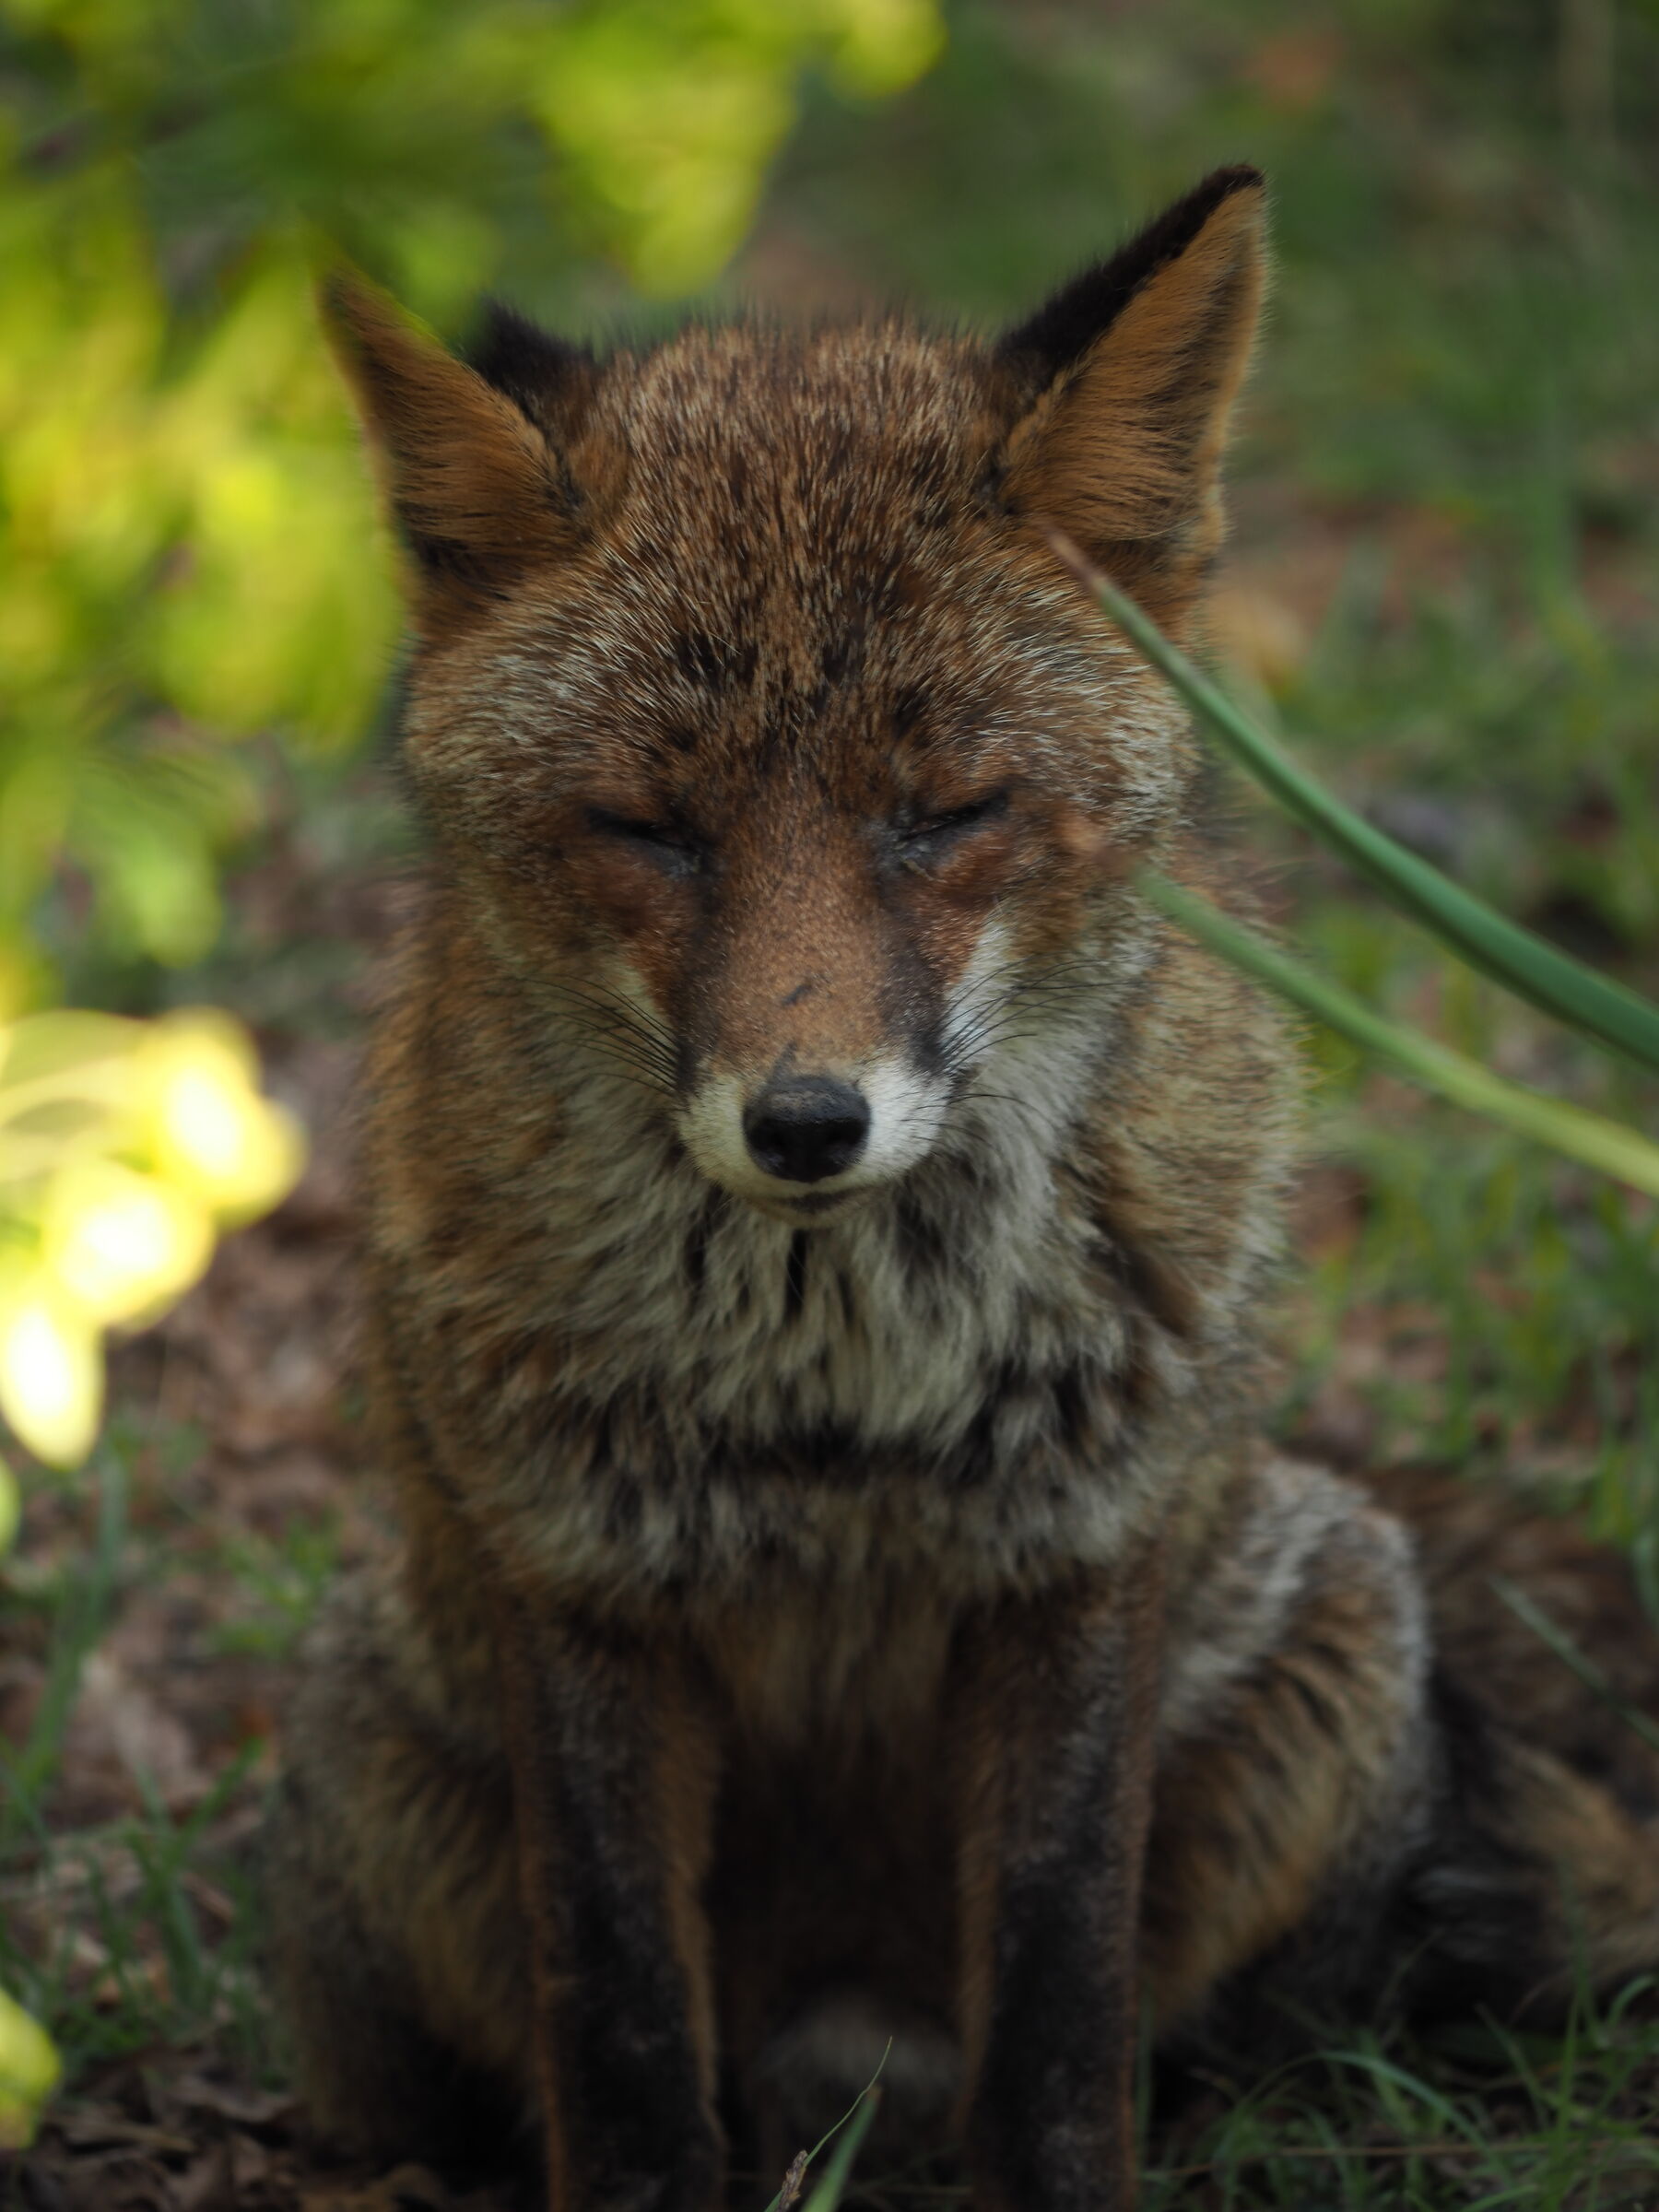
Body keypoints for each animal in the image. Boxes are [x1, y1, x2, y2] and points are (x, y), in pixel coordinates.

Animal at [266, 166, 1659, 2212]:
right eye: (651, 832)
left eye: (941, 814)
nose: (806, 1123)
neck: (847, 1403)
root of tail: (856, 2067)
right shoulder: (584, 1592)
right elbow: (619, 2032)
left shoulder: (1075, 1567)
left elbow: (1064, 2006)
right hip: (378, 1749)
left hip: (1323, 1655)